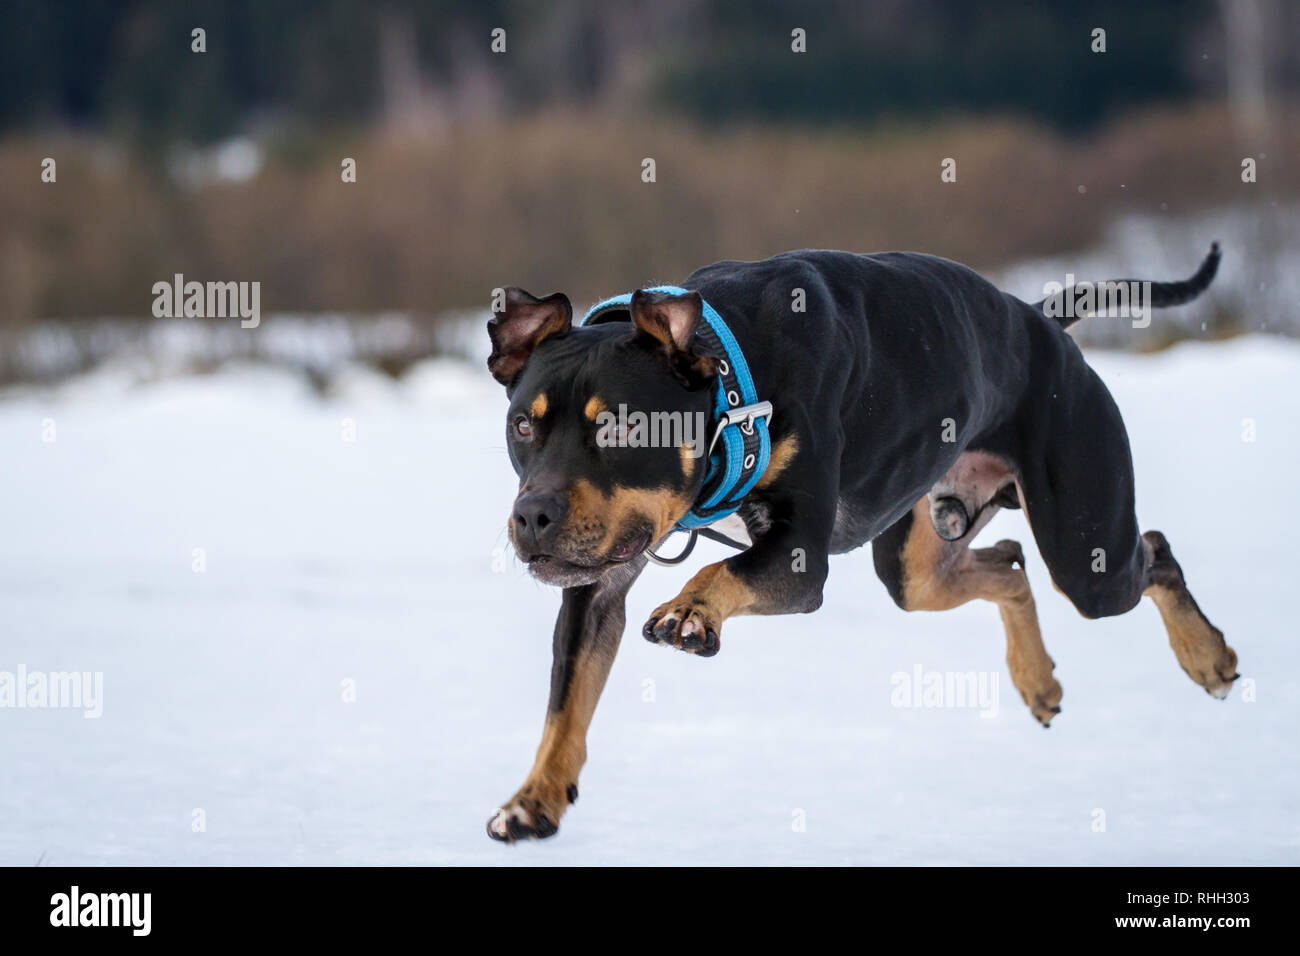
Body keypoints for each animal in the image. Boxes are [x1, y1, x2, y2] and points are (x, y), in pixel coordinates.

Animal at [483, 243, 1232, 842]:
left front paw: (690, 612)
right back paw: (1037, 678)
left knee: (1154, 552)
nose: (533, 515)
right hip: (916, 560)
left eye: (623, 428)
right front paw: (534, 800)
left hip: (1086, 551)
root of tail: (1039, 320)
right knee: (1010, 565)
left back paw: (1207, 657)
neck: (732, 389)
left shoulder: (798, 558)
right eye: (523, 426)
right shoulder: (597, 586)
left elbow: (723, 571)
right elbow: (566, 703)